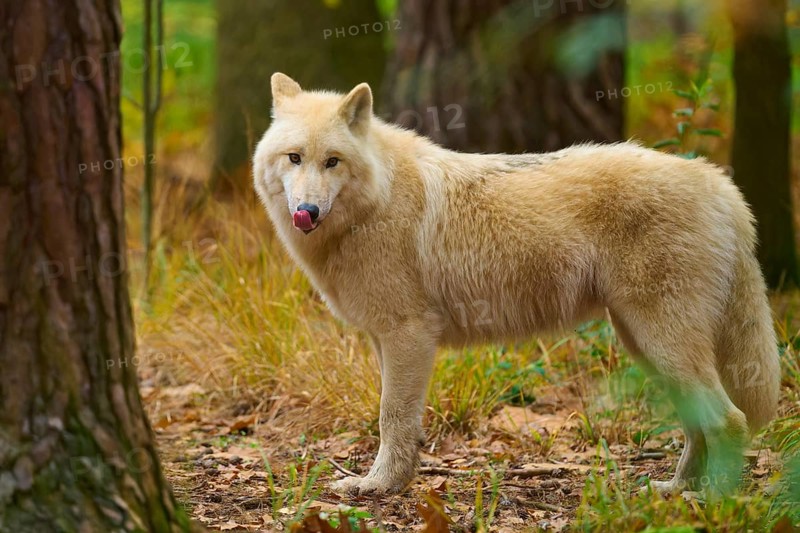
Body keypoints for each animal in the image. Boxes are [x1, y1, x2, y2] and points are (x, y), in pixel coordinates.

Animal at [252, 73, 780, 496]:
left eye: (333, 161)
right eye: (295, 158)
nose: (306, 211)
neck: (377, 201)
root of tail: (718, 182)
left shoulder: (409, 335)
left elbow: (391, 418)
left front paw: (379, 486)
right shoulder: (386, 341)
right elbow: (400, 423)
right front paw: (391, 482)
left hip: (662, 342)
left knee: (730, 420)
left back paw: (713, 500)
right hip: (645, 346)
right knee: (699, 427)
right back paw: (674, 489)